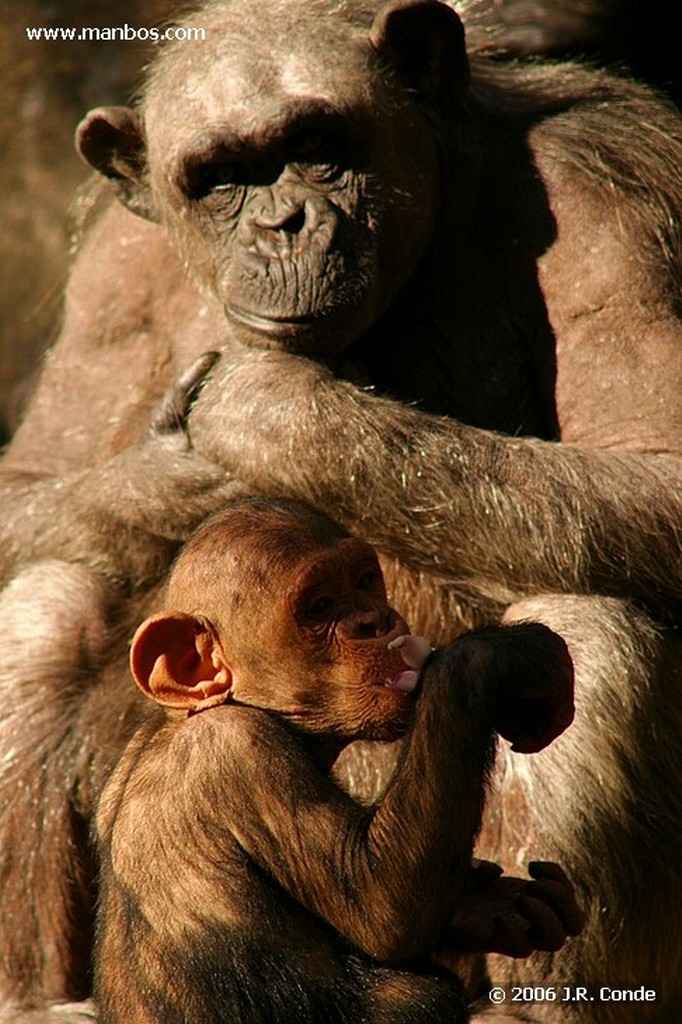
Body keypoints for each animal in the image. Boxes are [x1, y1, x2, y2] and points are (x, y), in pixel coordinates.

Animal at [96, 493, 585, 1015]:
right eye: (320, 606)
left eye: (365, 580)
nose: (375, 621)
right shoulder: (241, 752)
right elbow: (377, 896)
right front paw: (499, 656)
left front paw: (487, 906)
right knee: (416, 992)